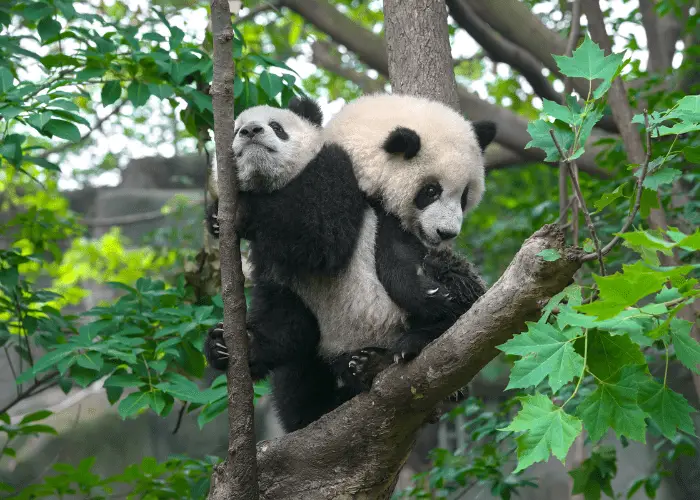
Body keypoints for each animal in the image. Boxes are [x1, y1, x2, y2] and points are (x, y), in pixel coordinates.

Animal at [205, 94, 494, 430]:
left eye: (277, 127)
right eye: (431, 191)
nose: (251, 130)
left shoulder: (343, 184)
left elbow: (322, 235)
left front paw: (240, 210)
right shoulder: (278, 267)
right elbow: (286, 317)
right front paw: (227, 344)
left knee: (457, 286)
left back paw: (397, 351)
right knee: (299, 376)